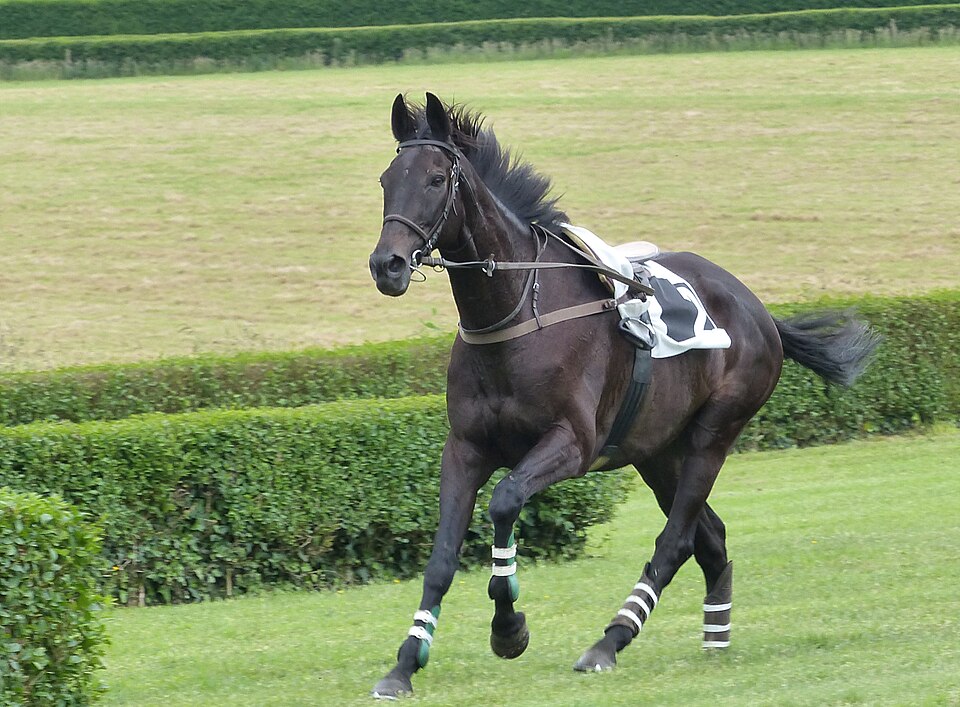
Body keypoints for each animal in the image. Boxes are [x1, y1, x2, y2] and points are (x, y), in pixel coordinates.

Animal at [367, 92, 878, 699]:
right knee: (710, 536)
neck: (515, 313)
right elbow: (443, 555)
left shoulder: (572, 444)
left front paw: (509, 629)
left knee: (676, 540)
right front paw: (405, 663)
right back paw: (715, 637)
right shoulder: (465, 448)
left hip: (712, 435)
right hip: (658, 452)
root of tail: (761, 313)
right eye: (386, 180)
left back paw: (609, 641)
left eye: (435, 178)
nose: (387, 265)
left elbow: (506, 501)